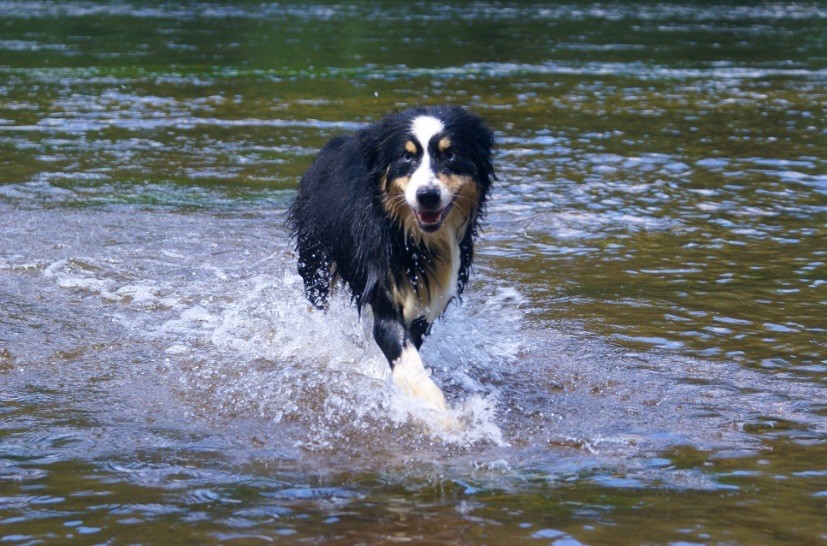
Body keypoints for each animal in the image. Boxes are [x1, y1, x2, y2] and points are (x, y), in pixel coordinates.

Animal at [288, 105, 494, 412]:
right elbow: (404, 358)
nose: (427, 196)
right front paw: (438, 410)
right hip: (317, 260)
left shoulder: (428, 301)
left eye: (450, 154)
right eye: (407, 156)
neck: (417, 240)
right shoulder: (384, 290)